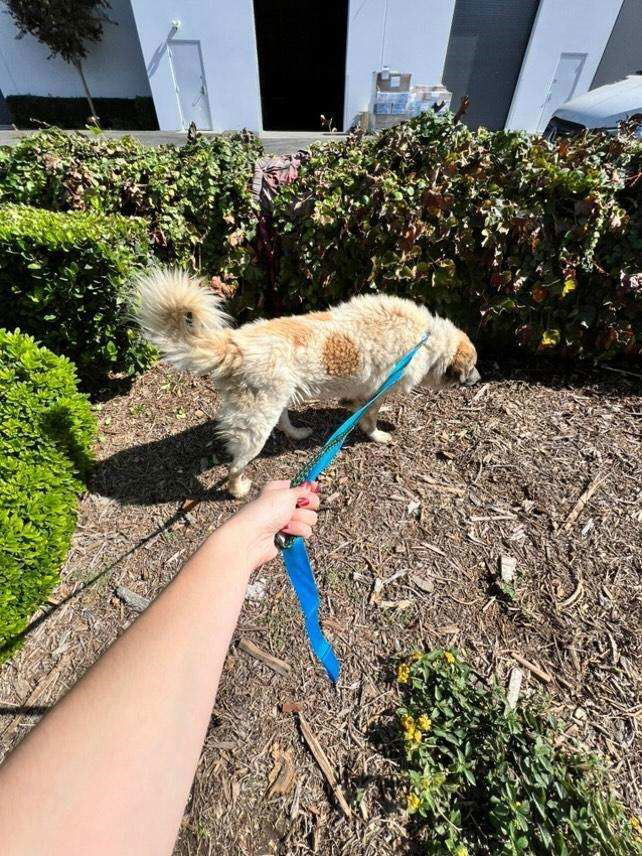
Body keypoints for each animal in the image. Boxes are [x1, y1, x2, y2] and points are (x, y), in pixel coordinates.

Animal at [134, 268, 476, 494]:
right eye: (473, 366)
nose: (479, 378)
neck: (426, 338)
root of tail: (236, 344)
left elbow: (354, 407)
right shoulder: (378, 393)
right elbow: (369, 419)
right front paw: (377, 436)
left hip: (276, 400)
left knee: (284, 421)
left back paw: (297, 433)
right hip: (255, 426)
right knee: (235, 465)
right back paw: (238, 489)